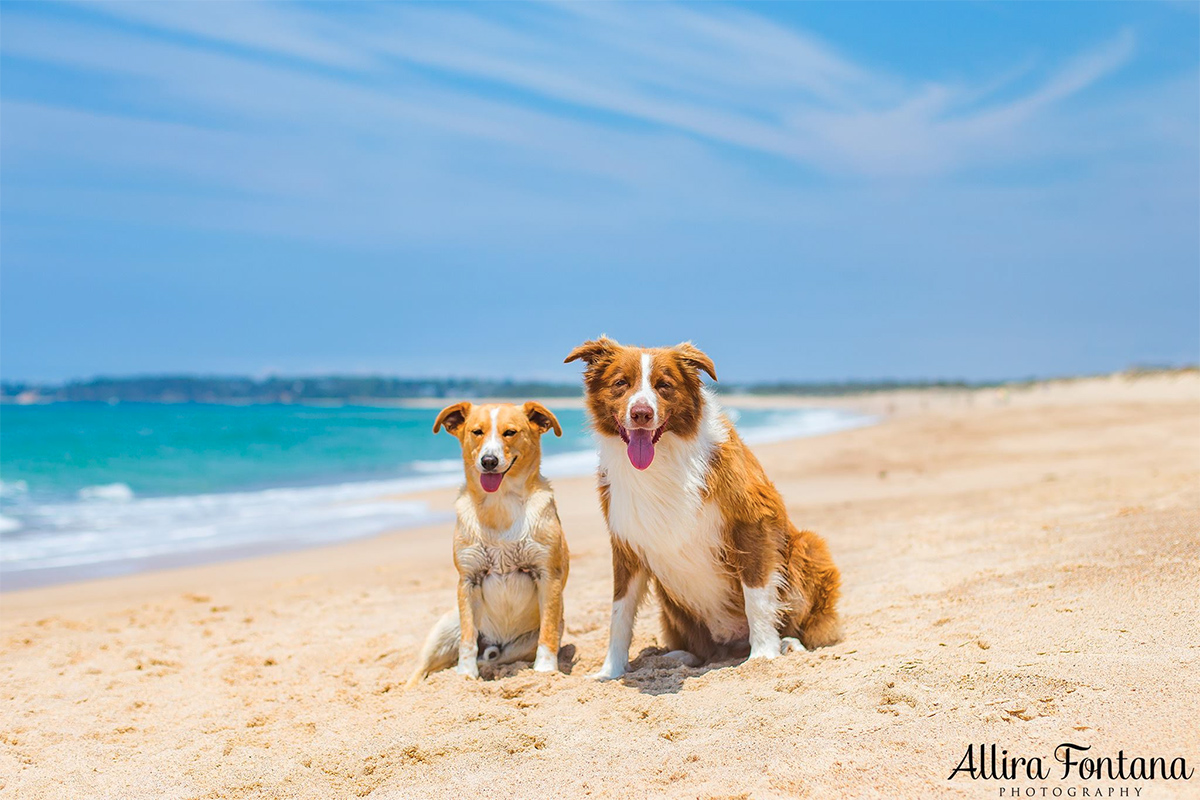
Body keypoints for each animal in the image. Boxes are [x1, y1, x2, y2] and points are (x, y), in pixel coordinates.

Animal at [405, 402, 568, 686]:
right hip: (445, 629)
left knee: (498, 657)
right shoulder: (469, 580)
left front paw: (546, 670)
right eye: (477, 432)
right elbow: (468, 640)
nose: (488, 461)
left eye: (510, 432)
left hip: (521, 645)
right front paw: (465, 675)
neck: (499, 504)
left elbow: (546, 635)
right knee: (424, 666)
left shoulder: (549, 575)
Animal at [564, 338, 840, 681]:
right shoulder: (626, 542)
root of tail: (731, 643)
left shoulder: (753, 522)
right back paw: (673, 657)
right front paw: (610, 670)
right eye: (621, 384)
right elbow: (619, 613)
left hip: (807, 545)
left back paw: (788, 643)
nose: (642, 413)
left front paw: (763, 654)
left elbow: (757, 596)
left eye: (664, 385)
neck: (662, 459)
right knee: (701, 649)